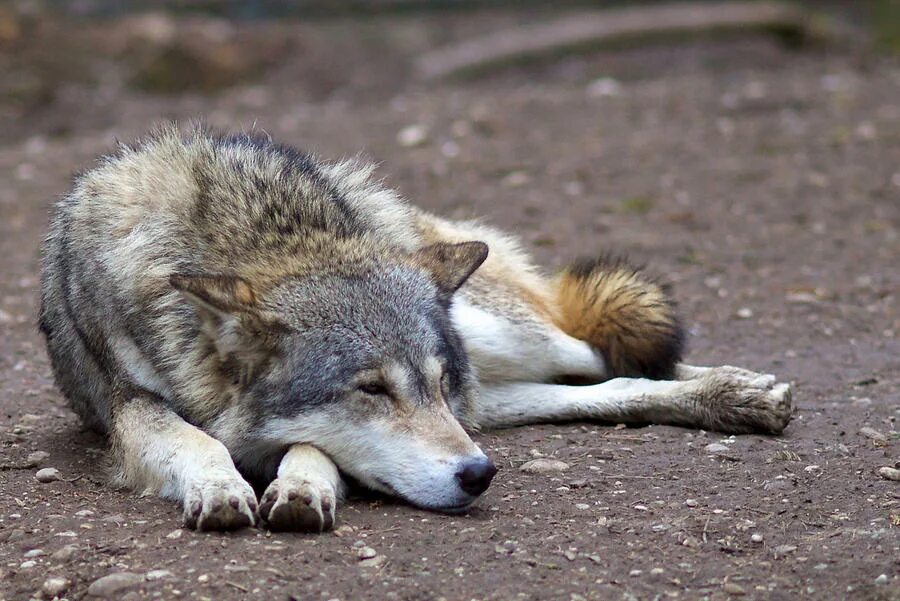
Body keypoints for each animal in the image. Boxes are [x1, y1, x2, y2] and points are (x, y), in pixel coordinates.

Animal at [38, 125, 792, 528]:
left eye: (427, 383)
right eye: (372, 389)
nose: (479, 473)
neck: (257, 235)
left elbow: (312, 448)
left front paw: (303, 487)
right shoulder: (132, 406)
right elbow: (194, 440)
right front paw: (221, 487)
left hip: (497, 346)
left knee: (608, 354)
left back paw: (747, 392)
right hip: (488, 390)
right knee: (604, 384)